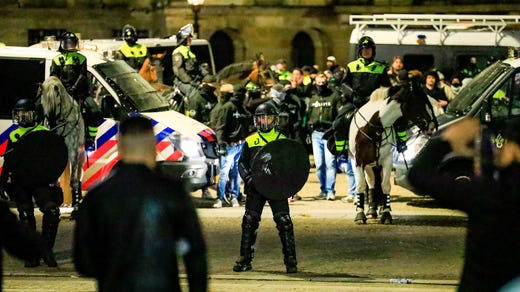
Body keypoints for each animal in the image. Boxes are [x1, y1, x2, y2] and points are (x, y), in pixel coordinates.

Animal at [38, 75, 85, 208]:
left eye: (57, 102)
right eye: (43, 102)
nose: (51, 125)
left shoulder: (73, 151)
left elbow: (73, 180)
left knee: (77, 177)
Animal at [348, 81, 436, 225]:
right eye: (421, 102)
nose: (432, 125)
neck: (375, 127)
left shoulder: (387, 161)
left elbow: (385, 186)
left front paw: (386, 213)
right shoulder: (359, 161)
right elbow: (360, 186)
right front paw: (360, 215)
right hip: (367, 165)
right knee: (371, 182)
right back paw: (371, 210)